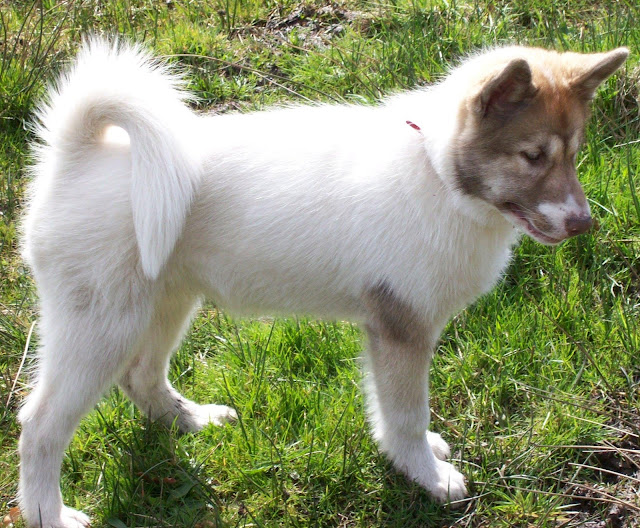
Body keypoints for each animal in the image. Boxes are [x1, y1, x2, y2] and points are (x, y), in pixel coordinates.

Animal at [17, 38, 628, 528]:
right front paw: (426, 475)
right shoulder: (400, 330)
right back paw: (49, 514)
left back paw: (192, 420)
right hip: (101, 326)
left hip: (166, 301)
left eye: (573, 154)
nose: (584, 224)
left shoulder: (389, 331)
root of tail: (79, 153)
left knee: (141, 376)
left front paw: (418, 459)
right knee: (39, 425)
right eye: (532, 156)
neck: (434, 173)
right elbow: (406, 415)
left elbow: (395, 413)